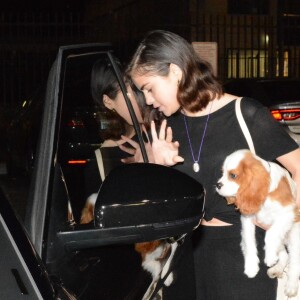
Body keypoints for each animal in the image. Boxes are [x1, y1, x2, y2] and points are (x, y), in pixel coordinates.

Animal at [216, 150, 300, 298]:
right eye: (222, 172)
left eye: (233, 175)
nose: (217, 185)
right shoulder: (247, 219)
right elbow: (249, 242)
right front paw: (251, 267)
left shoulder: (288, 213)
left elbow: (271, 234)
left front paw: (270, 256)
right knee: (285, 255)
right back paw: (277, 268)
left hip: (294, 235)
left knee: (295, 260)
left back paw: (291, 286)